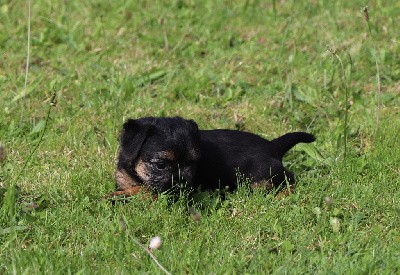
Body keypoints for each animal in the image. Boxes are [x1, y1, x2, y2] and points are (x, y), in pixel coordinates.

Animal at [108, 116, 316, 198]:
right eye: (160, 165)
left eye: (192, 164)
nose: (183, 184)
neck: (136, 172)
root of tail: (273, 146)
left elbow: (143, 190)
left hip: (262, 176)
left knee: (289, 178)